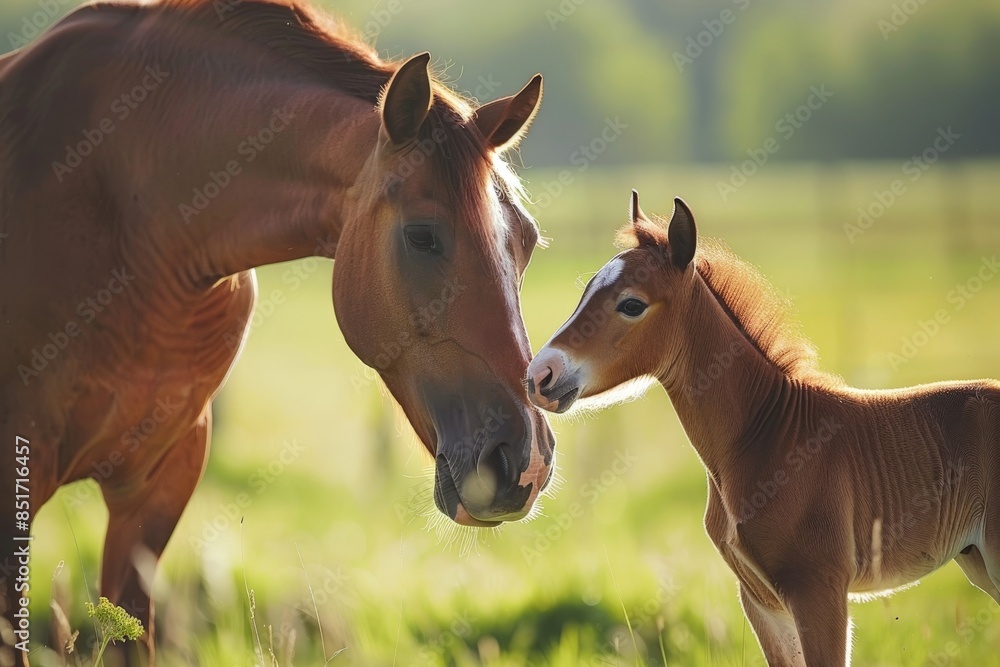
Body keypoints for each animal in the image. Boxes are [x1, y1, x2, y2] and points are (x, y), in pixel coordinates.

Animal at [524, 190, 1000, 666]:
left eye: (631, 304)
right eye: (585, 292)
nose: (539, 375)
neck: (770, 437)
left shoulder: (818, 589)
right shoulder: (760, 600)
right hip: (977, 560)